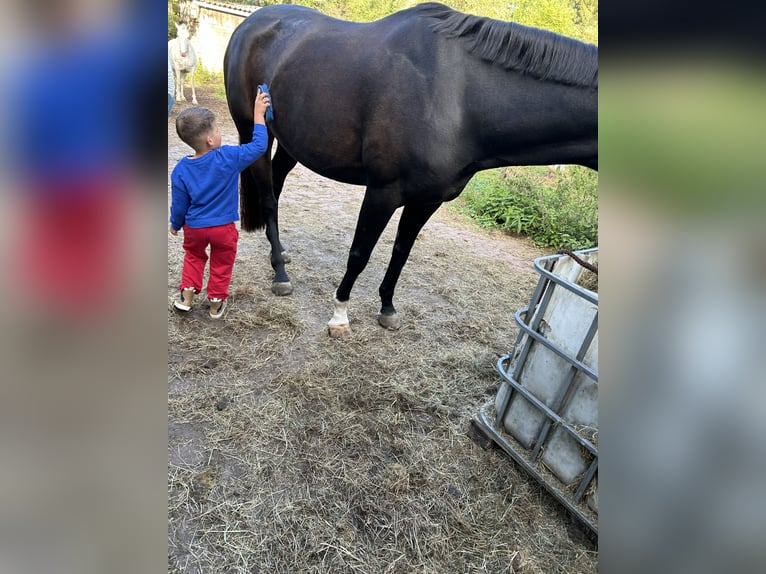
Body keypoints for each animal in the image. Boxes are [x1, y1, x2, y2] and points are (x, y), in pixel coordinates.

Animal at [224, 3, 600, 338]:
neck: (460, 97)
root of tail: (252, 23)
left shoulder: (426, 200)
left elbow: (401, 253)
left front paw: (387, 308)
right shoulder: (382, 193)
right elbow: (360, 253)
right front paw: (339, 316)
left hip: (292, 142)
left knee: (276, 185)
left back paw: (279, 254)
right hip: (253, 128)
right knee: (268, 197)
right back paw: (280, 274)